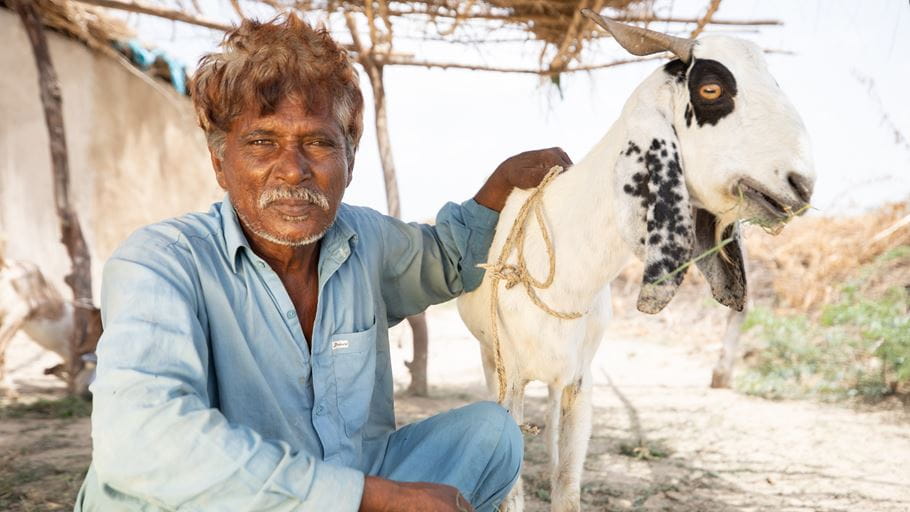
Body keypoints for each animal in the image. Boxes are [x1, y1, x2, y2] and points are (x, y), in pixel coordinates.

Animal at [457, 11, 815, 512]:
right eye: (711, 89)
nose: (801, 184)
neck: (571, 270)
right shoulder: (512, 380)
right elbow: (511, 488)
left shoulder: (581, 382)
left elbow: (567, 486)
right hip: (492, 360)